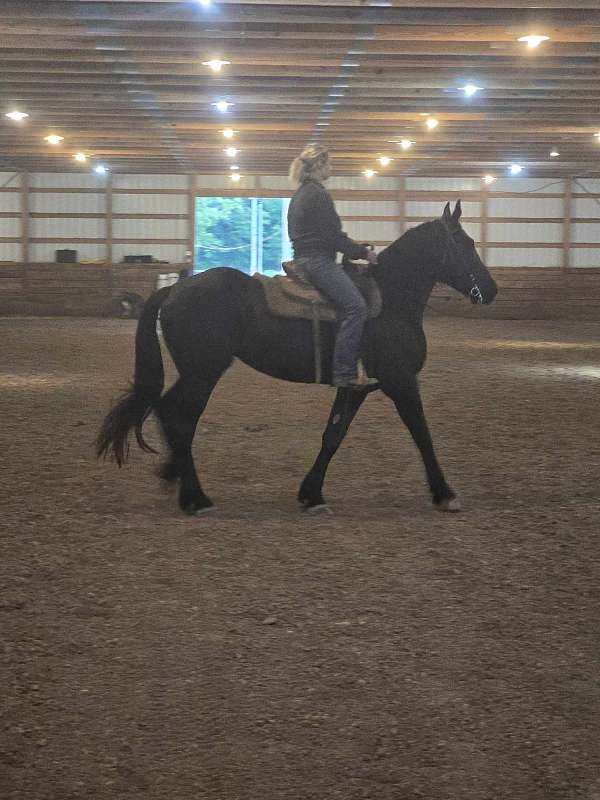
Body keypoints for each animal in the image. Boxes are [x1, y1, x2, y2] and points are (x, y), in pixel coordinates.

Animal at [97, 200, 496, 512]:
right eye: (465, 243)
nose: (491, 290)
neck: (391, 301)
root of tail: (176, 289)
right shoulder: (401, 381)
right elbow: (422, 433)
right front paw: (445, 493)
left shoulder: (356, 387)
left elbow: (333, 435)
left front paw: (311, 493)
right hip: (203, 373)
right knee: (176, 416)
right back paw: (195, 497)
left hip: (199, 373)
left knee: (172, 415)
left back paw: (176, 479)